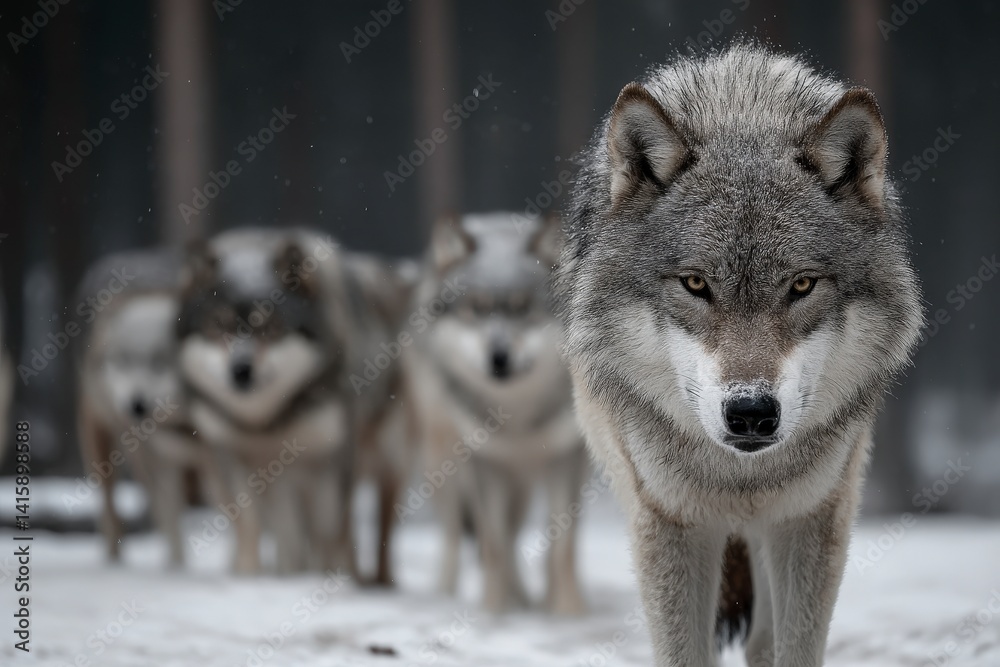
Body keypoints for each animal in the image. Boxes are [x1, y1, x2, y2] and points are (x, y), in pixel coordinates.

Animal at [75, 248, 213, 566]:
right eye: (124, 361)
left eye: (160, 363)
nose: (136, 405)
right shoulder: (160, 463)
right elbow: (171, 523)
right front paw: (177, 569)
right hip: (103, 449)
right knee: (112, 513)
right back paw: (114, 562)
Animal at [178, 228, 414, 579]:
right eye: (217, 326)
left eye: (271, 328)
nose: (241, 371)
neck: (265, 424)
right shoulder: (237, 460)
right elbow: (252, 526)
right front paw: (251, 578)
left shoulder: (330, 460)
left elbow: (329, 532)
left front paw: (327, 579)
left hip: (386, 461)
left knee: (375, 533)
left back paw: (373, 581)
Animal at [407, 212, 588, 614]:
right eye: (476, 309)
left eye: (523, 308)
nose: (499, 356)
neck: (518, 417)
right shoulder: (485, 463)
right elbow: (492, 545)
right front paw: (492, 614)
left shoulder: (565, 460)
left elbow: (562, 549)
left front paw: (567, 613)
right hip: (442, 465)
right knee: (459, 537)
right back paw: (450, 595)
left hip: (522, 484)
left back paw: (529, 598)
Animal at [556, 45, 922, 665]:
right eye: (696, 284)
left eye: (801, 285)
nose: (751, 412)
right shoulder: (671, 522)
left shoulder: (809, 516)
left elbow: (794, 649)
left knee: (761, 639)